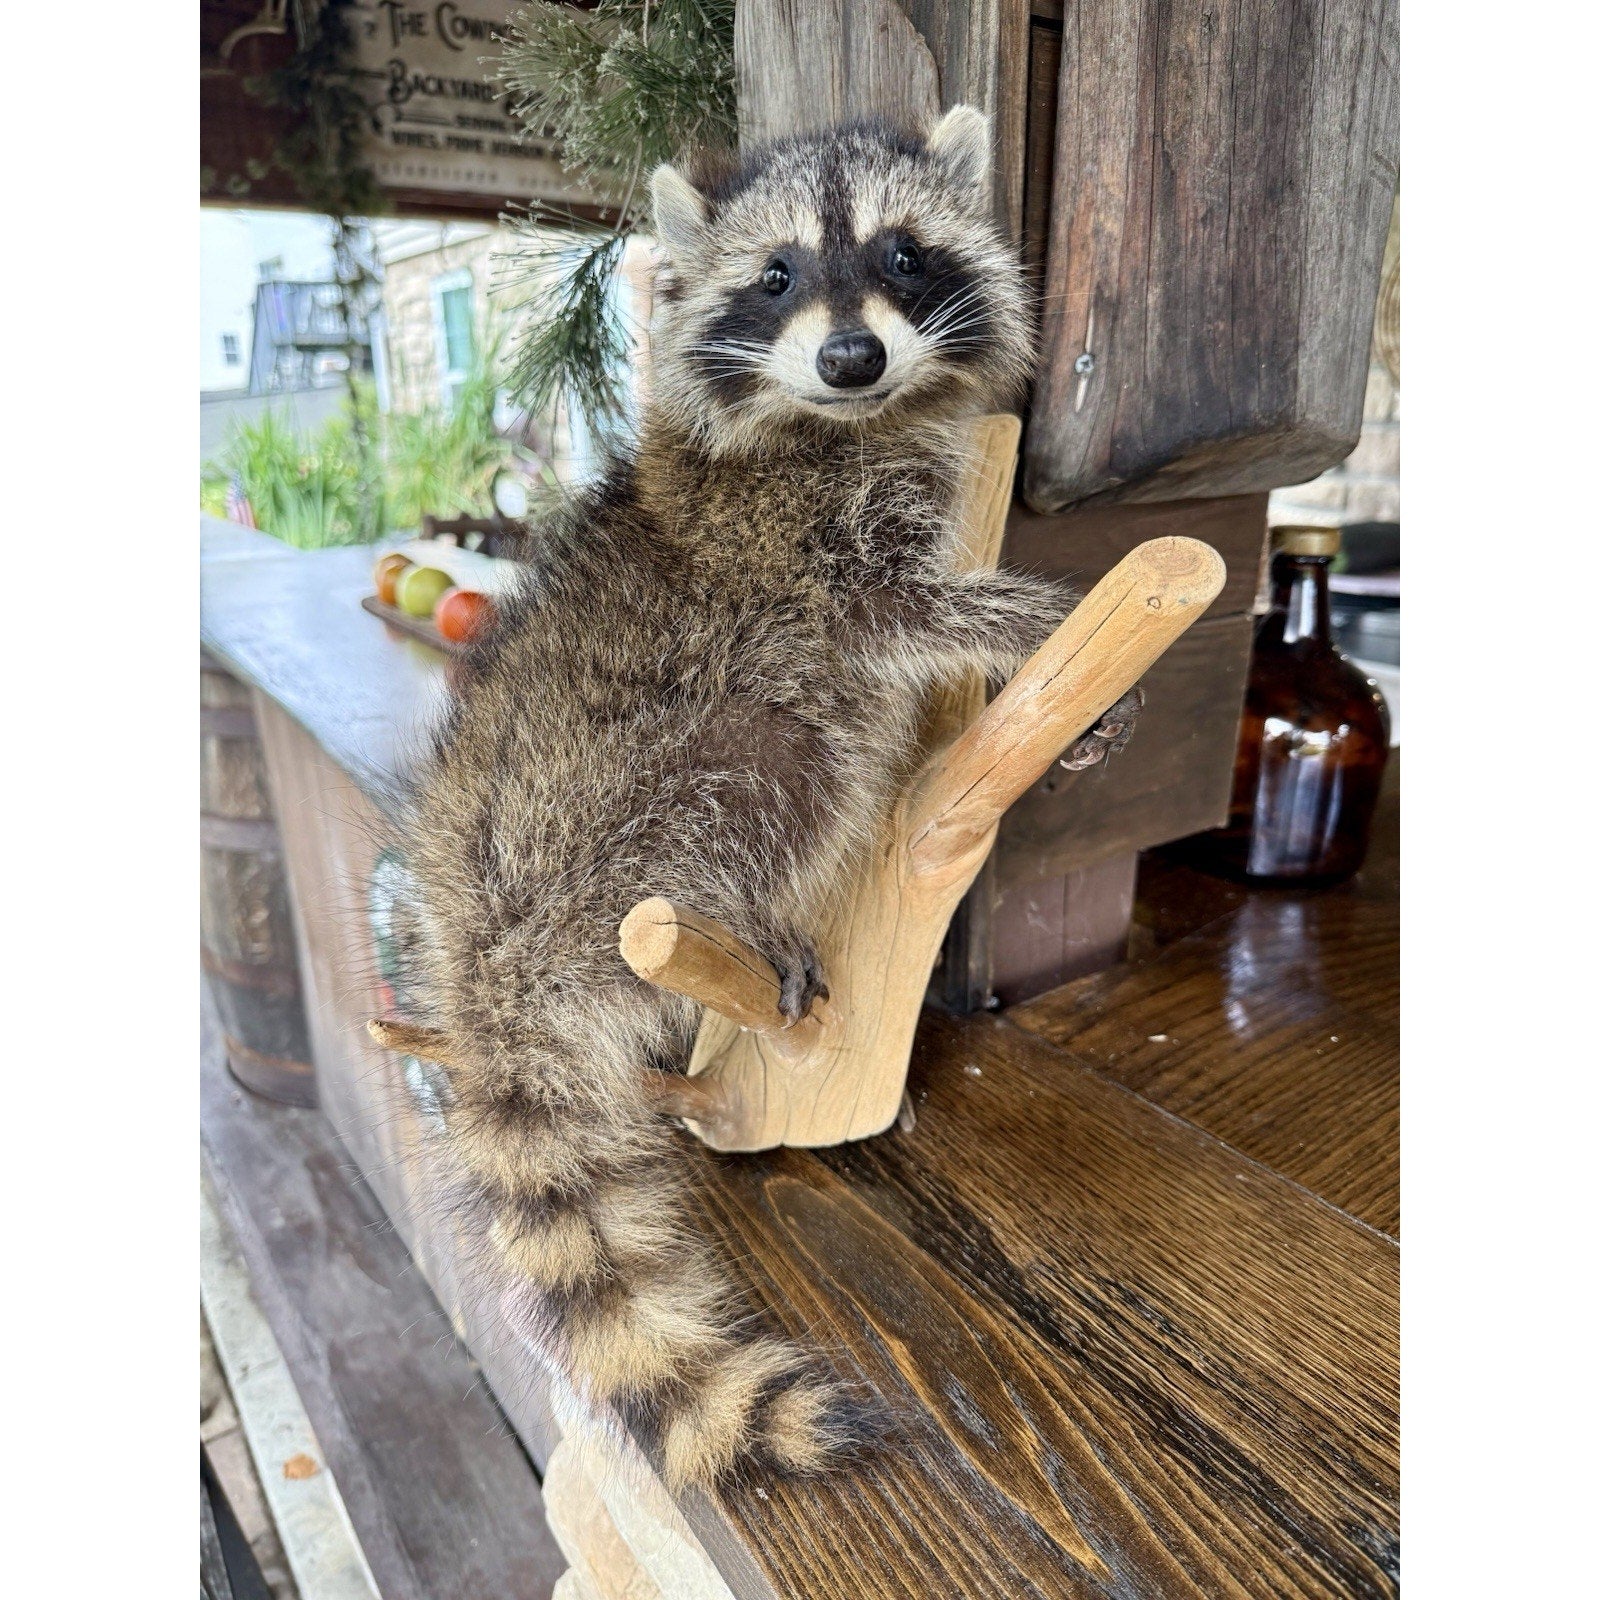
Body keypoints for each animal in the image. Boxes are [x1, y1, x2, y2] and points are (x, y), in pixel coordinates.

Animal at [394, 107, 1140, 1492]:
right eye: (778, 274)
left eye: (902, 254)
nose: (852, 356)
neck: (845, 421)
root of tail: (481, 964)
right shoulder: (799, 549)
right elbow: (898, 612)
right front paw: (1032, 620)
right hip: (630, 810)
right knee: (789, 758)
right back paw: (749, 913)